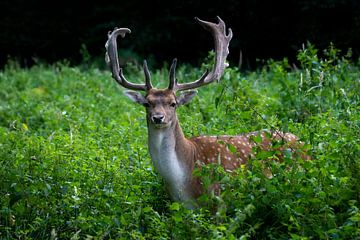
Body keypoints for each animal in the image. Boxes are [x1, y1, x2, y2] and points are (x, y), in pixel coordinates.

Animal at [104, 17, 306, 208]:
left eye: (173, 103)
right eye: (147, 103)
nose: (158, 117)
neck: (183, 182)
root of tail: (303, 143)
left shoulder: (220, 198)